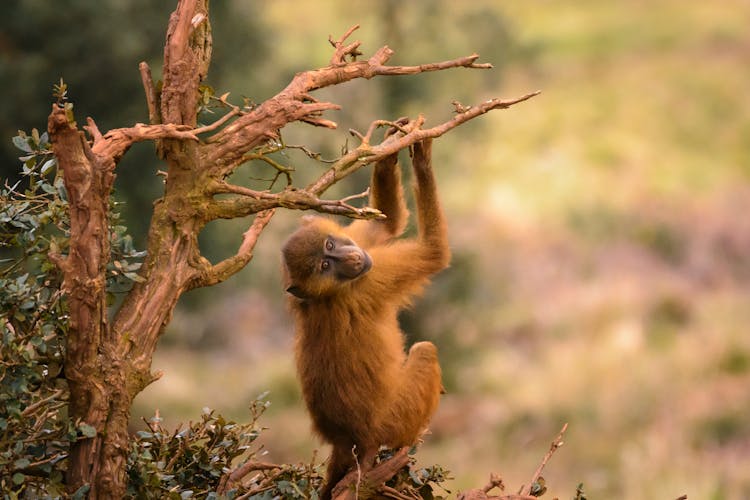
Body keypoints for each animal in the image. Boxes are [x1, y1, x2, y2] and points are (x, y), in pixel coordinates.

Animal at [280, 138, 446, 500]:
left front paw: (386, 152)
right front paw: (422, 158)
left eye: (330, 246)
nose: (353, 258)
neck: (322, 296)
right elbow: (434, 253)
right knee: (426, 350)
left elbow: (386, 223)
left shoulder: (364, 253)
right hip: (396, 419)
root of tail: (348, 441)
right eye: (324, 266)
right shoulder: (371, 280)